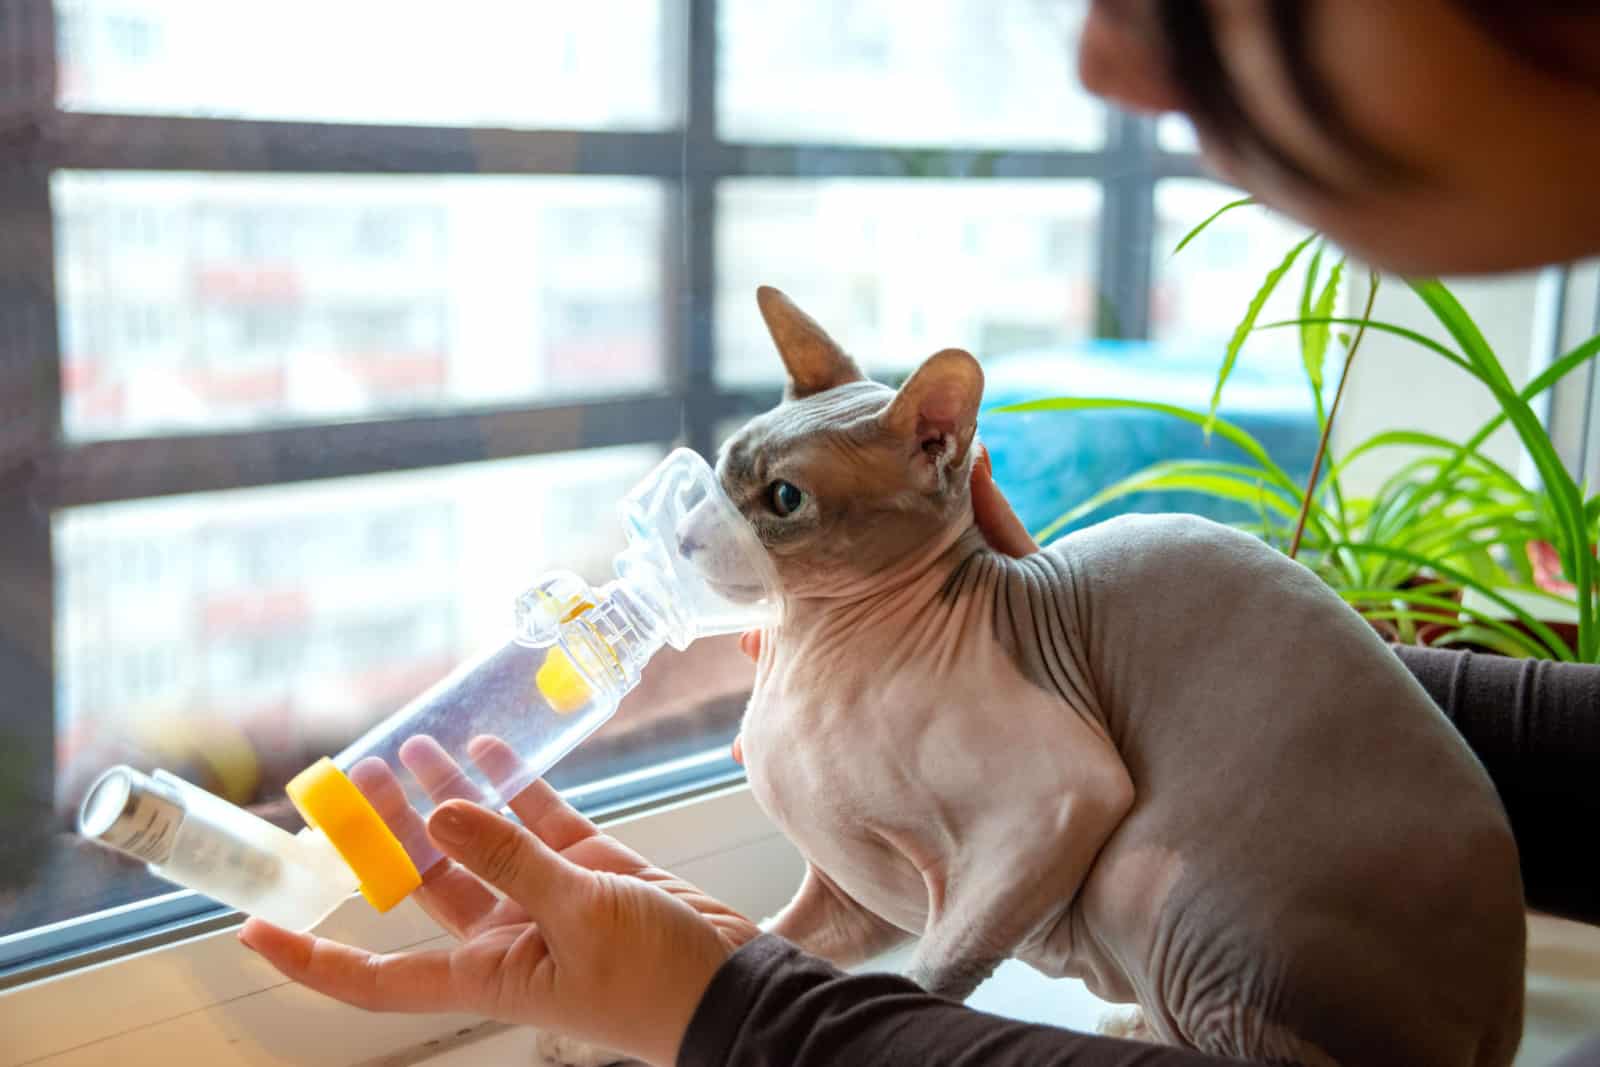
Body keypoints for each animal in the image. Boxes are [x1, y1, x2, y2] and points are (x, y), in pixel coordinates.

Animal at [710, 286, 1523, 1067]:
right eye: (720, 471)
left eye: (784, 498)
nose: (695, 530)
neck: (807, 652)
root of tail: (1499, 1017)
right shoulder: (856, 894)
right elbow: (769, 933)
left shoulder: (1061, 802)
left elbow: (929, 976)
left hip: (1146, 880)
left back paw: (1134, 1031)